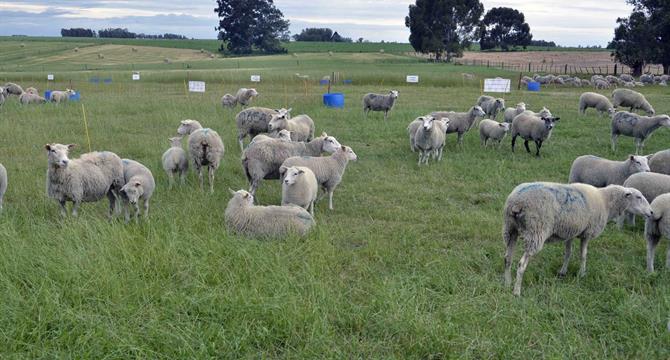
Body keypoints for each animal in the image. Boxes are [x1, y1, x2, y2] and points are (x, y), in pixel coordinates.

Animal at [504, 183, 656, 296]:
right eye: (638, 197)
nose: (651, 212)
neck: (605, 201)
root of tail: (517, 202)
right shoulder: (587, 233)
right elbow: (583, 255)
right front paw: (582, 274)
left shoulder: (570, 232)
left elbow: (568, 253)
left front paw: (563, 272)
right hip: (536, 231)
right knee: (521, 264)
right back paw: (516, 291)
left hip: (510, 229)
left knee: (507, 258)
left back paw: (506, 282)